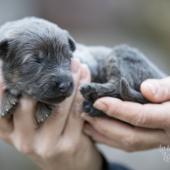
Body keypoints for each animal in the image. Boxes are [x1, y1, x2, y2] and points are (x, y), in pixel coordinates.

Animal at [0, 17, 166, 123]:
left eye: (68, 57)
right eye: (36, 60)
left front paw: (43, 106)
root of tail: (159, 74)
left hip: (121, 56)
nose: (65, 85)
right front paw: (6, 99)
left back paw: (92, 93)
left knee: (119, 85)